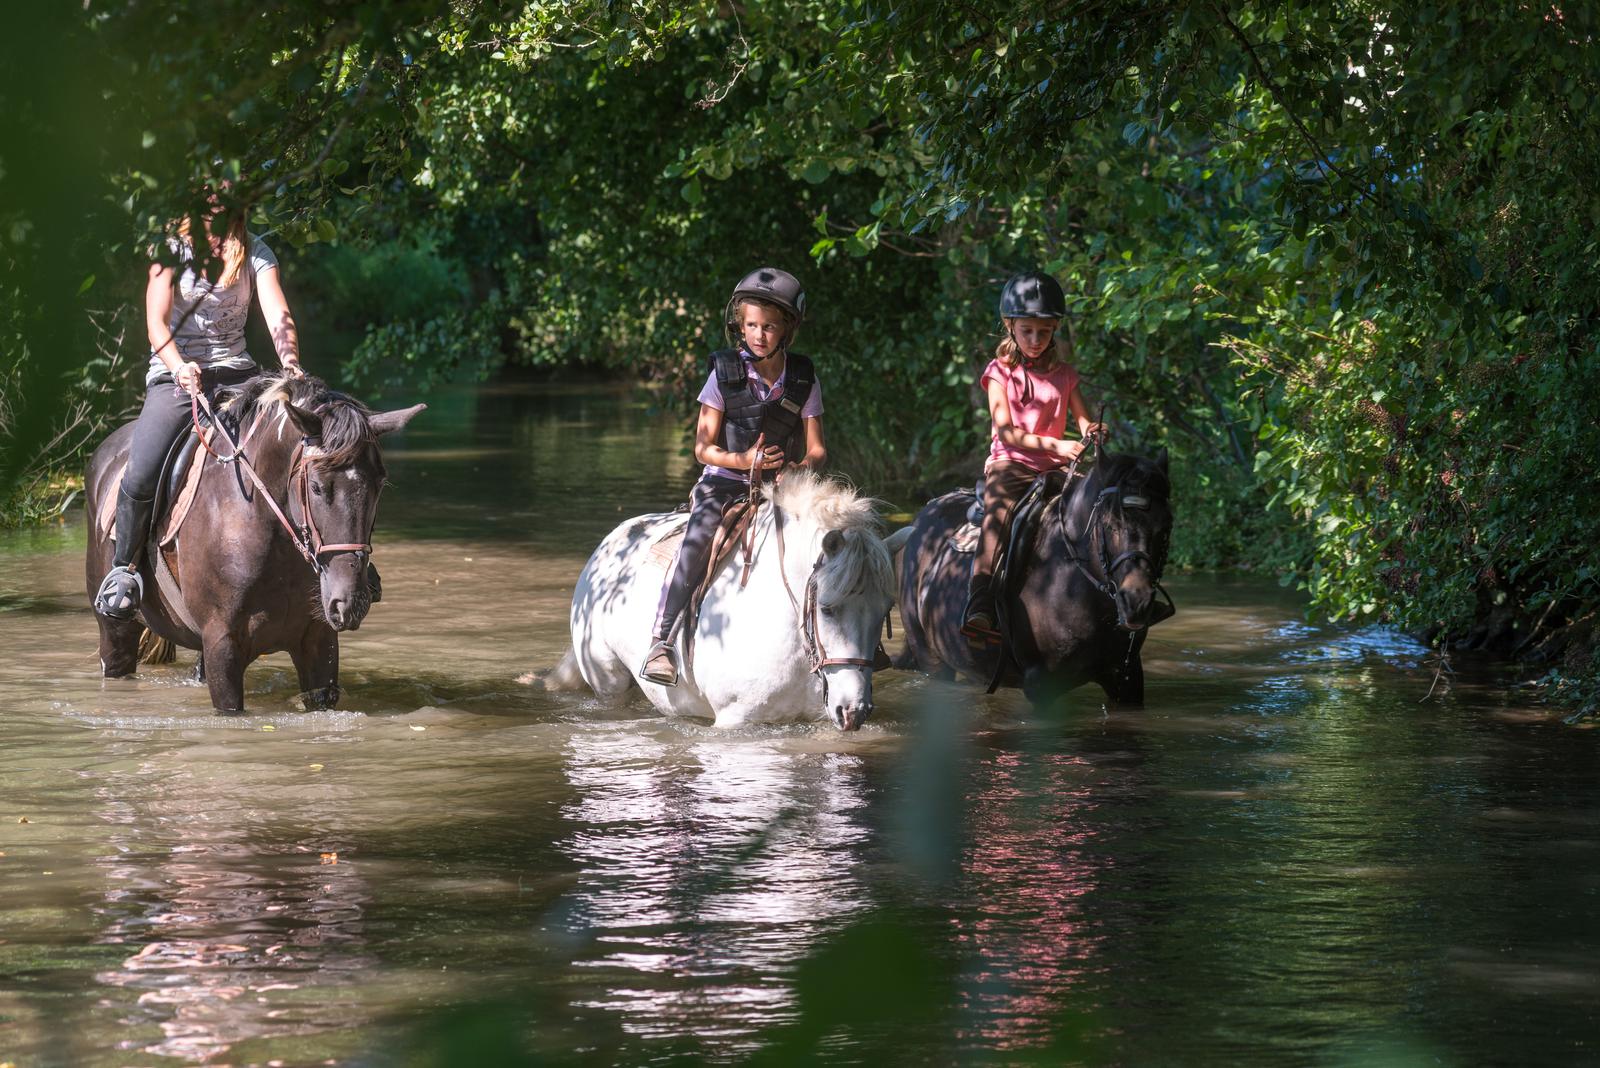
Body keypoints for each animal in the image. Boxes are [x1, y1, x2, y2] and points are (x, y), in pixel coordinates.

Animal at [84, 373, 424, 712]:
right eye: (316, 486)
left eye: (379, 484)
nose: (349, 602)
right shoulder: (222, 645)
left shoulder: (319, 641)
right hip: (115, 632)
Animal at [549, 469, 896, 730]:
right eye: (826, 609)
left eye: (885, 612)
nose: (854, 710)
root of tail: (610, 541)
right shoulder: (734, 721)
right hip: (609, 685)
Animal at [893, 450, 1174, 706]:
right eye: (1110, 524)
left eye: (1165, 526)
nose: (1136, 602)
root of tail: (922, 516)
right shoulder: (1041, 685)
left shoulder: (1126, 676)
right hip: (931, 658)